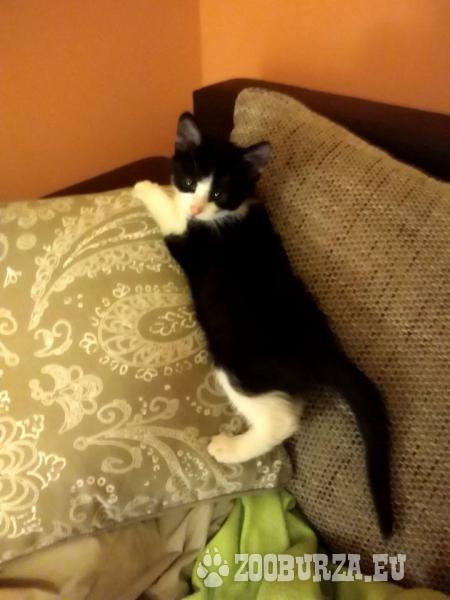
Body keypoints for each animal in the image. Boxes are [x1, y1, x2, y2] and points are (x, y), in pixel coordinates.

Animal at [133, 112, 393, 537]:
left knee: (281, 419)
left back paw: (228, 448)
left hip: (238, 359)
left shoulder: (190, 240)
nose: (197, 206)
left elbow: (171, 219)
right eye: (190, 181)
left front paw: (147, 189)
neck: (225, 218)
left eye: (220, 194)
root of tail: (322, 347)